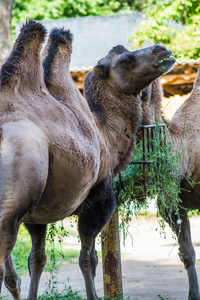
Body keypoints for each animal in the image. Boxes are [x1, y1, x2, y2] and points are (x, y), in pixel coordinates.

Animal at [0, 19, 175, 298]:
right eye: (126, 59)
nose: (162, 49)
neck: (106, 134)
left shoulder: (36, 216)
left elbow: (36, 259)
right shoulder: (100, 198)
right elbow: (88, 260)